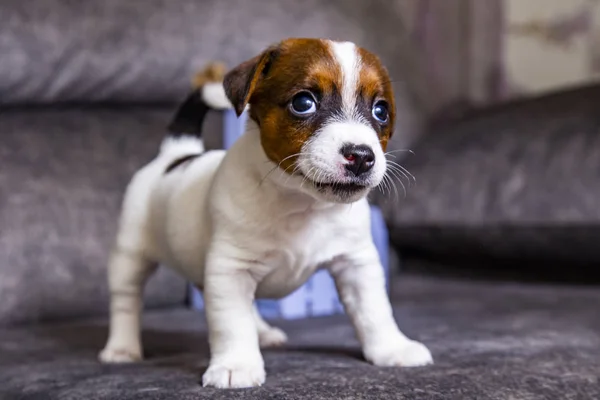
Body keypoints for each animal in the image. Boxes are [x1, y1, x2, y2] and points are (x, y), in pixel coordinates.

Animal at [101, 36, 434, 388]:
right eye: (303, 102)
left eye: (380, 110)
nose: (360, 156)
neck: (302, 203)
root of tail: (177, 154)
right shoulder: (230, 270)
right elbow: (232, 323)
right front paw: (236, 364)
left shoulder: (356, 264)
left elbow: (375, 311)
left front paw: (392, 348)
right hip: (131, 254)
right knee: (126, 299)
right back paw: (121, 347)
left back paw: (262, 333)